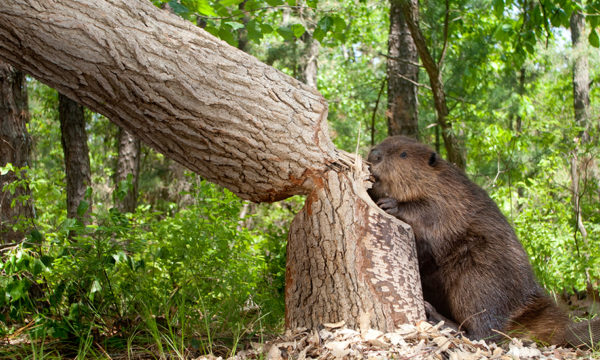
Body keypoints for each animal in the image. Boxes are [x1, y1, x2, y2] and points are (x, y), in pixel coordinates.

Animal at [368, 136, 596, 348]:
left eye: (403, 154)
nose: (374, 155)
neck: (438, 179)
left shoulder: (450, 197)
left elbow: (429, 211)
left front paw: (391, 204)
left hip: (478, 277)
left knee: (486, 331)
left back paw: (439, 318)